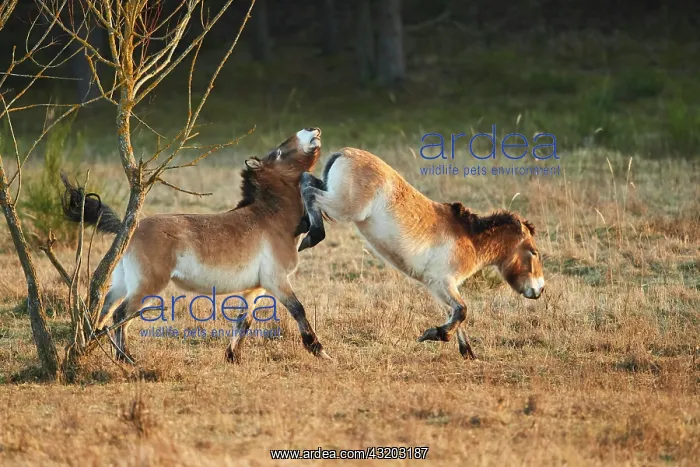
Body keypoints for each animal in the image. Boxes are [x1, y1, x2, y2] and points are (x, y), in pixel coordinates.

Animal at [61, 128, 332, 363]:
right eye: (278, 153)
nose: (312, 131)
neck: (269, 218)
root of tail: (129, 228)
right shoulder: (277, 281)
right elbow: (298, 309)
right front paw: (319, 351)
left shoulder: (256, 288)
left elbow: (243, 321)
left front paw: (232, 357)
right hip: (147, 287)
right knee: (120, 315)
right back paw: (126, 358)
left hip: (122, 283)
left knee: (103, 310)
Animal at [297, 147, 545, 359]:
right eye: (533, 252)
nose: (540, 289)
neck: (470, 239)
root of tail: (345, 152)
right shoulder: (444, 282)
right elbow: (462, 311)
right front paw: (434, 335)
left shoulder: (438, 288)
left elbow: (455, 314)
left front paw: (467, 352)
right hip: (343, 207)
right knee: (309, 190)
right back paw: (312, 235)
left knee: (308, 181)